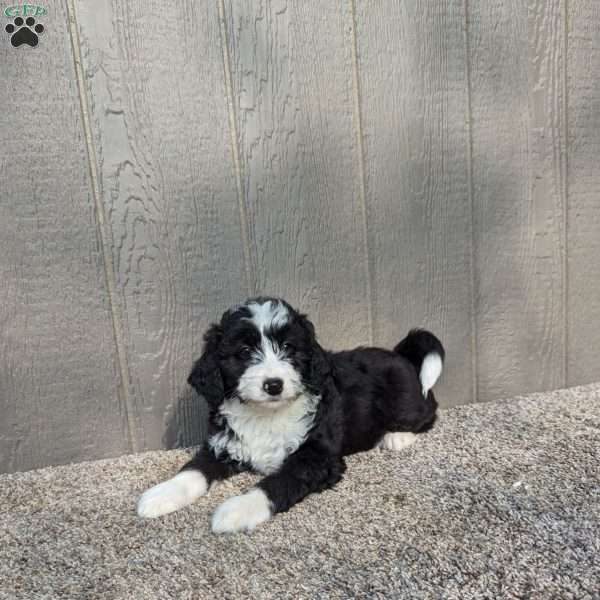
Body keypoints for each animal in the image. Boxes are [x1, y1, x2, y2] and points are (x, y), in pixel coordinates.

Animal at [137, 296, 446, 536]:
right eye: (245, 351)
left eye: (288, 347)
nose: (273, 384)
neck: (266, 415)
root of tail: (399, 355)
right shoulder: (223, 444)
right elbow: (193, 470)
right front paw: (161, 495)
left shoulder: (316, 457)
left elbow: (276, 482)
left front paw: (236, 510)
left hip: (406, 400)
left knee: (428, 410)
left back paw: (397, 436)